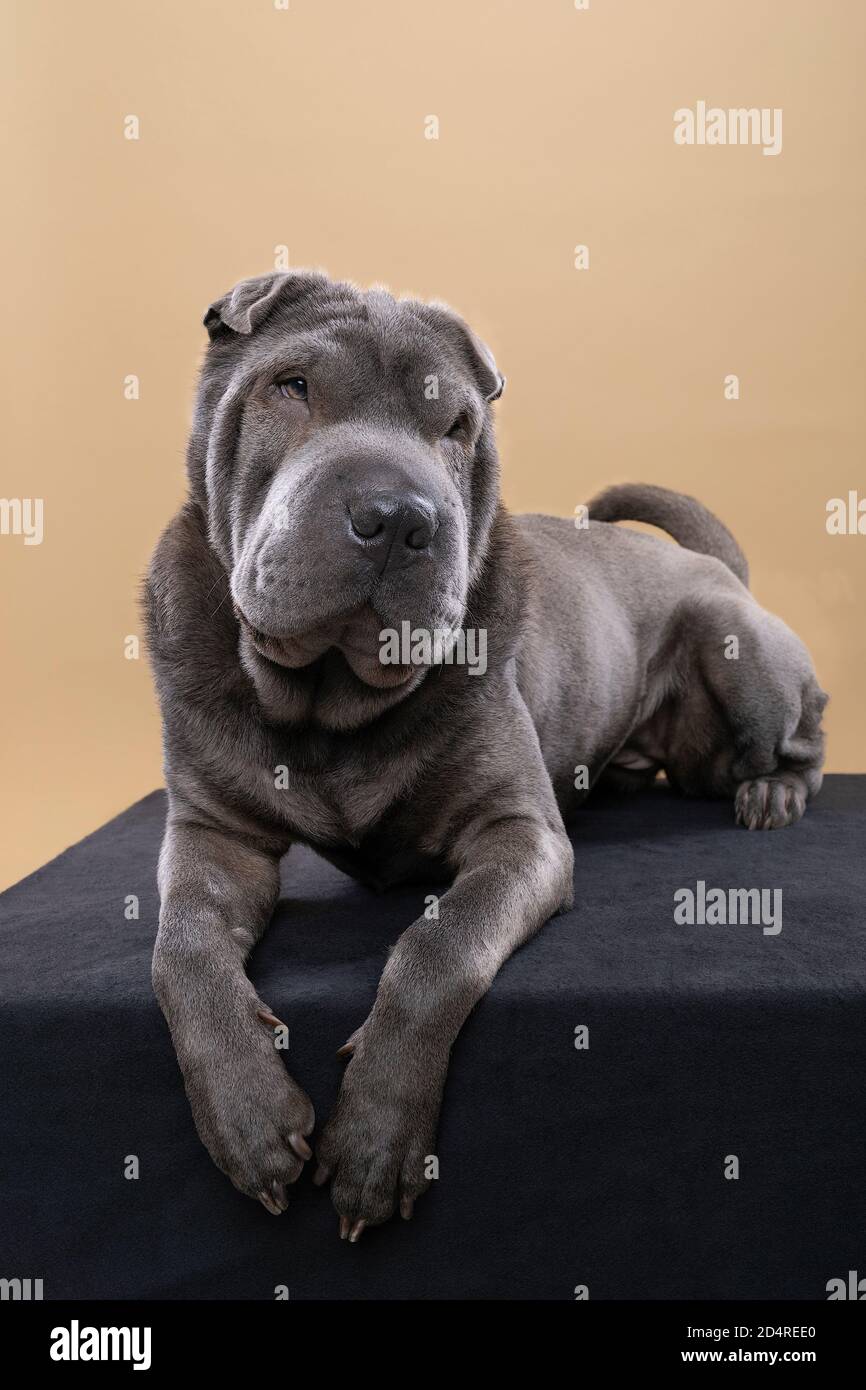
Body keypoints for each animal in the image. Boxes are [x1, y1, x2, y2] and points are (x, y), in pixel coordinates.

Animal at [145, 268, 828, 1239]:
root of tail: (711, 565)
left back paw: (775, 793)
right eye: (293, 386)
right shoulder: (213, 835)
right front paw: (246, 1115)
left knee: (804, 733)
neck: (327, 706)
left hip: (739, 652)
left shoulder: (519, 835)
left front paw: (377, 1137)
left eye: (457, 427)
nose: (397, 516)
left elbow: (439, 950)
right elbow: (183, 948)